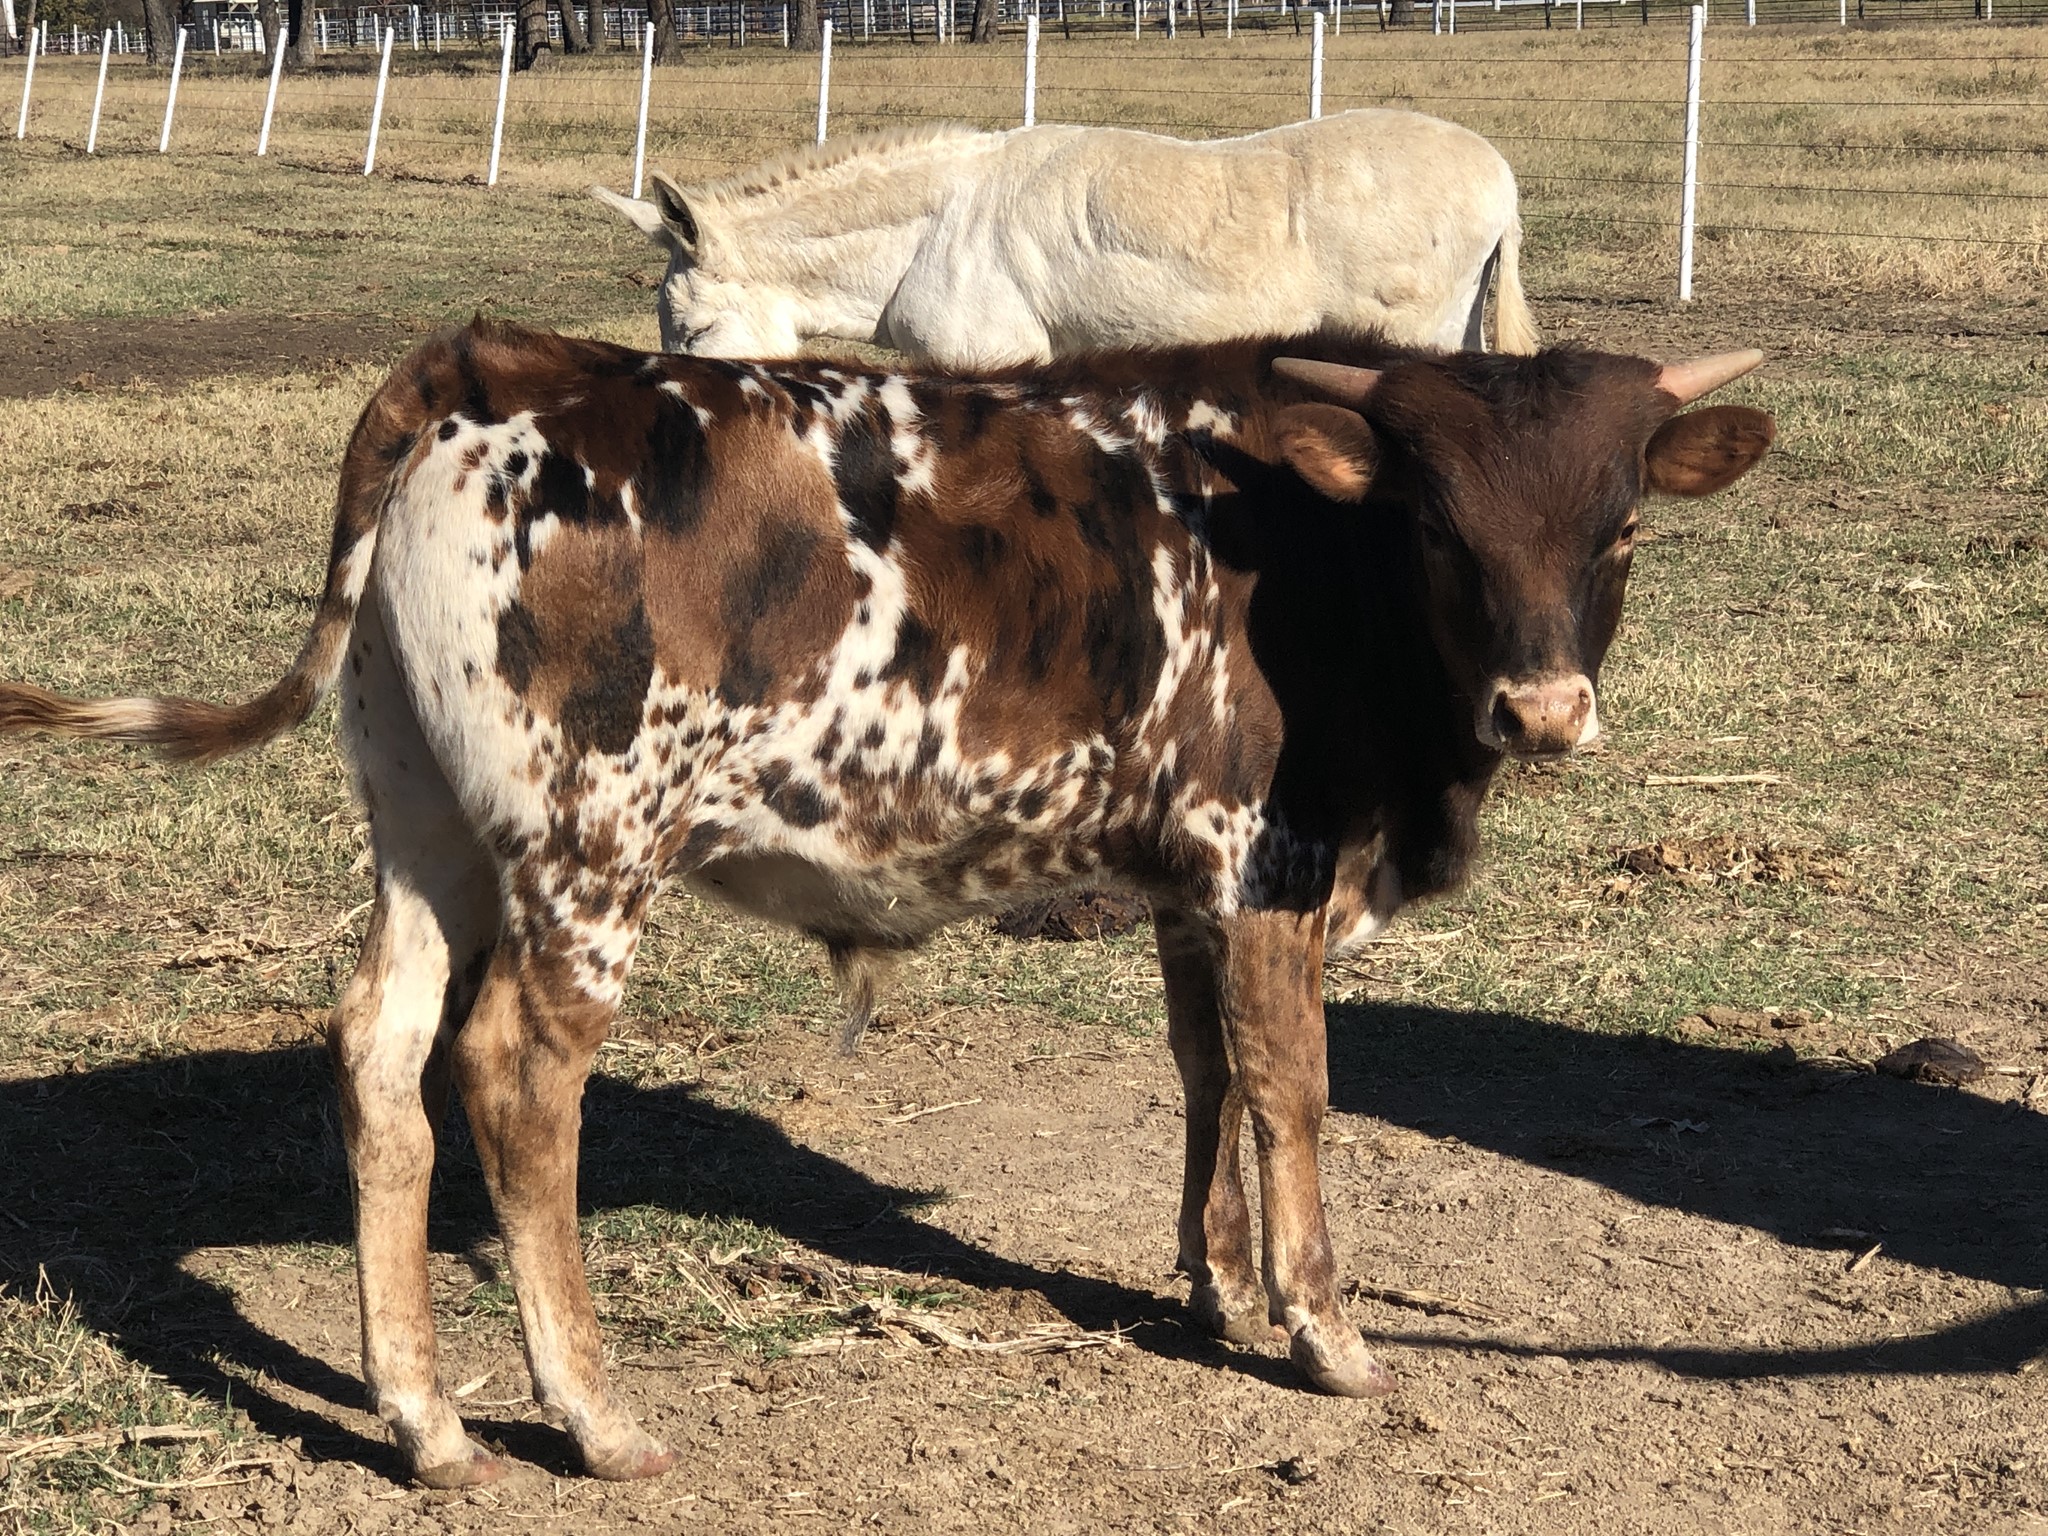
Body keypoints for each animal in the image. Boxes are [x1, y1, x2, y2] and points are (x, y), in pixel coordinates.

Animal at [0, 319, 1772, 1489]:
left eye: (1619, 525)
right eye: (1437, 527)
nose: (1542, 711)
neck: (1302, 551)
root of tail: (509, 374)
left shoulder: (1189, 887)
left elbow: (1207, 1077)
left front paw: (1212, 1282)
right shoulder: (1270, 859)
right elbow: (1293, 1092)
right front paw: (1320, 1327)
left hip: (426, 825)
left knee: (378, 1053)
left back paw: (428, 1422)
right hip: (590, 848)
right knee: (512, 1081)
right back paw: (595, 1415)